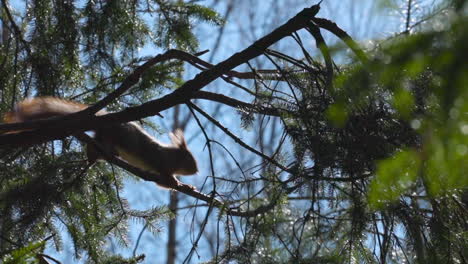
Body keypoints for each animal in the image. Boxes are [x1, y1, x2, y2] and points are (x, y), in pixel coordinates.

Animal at [3, 96, 197, 188]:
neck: (169, 155)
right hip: (113, 134)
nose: (197, 171)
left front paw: (188, 186)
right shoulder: (159, 163)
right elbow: (165, 180)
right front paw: (179, 183)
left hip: (101, 141)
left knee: (95, 146)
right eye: (189, 159)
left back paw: (93, 157)